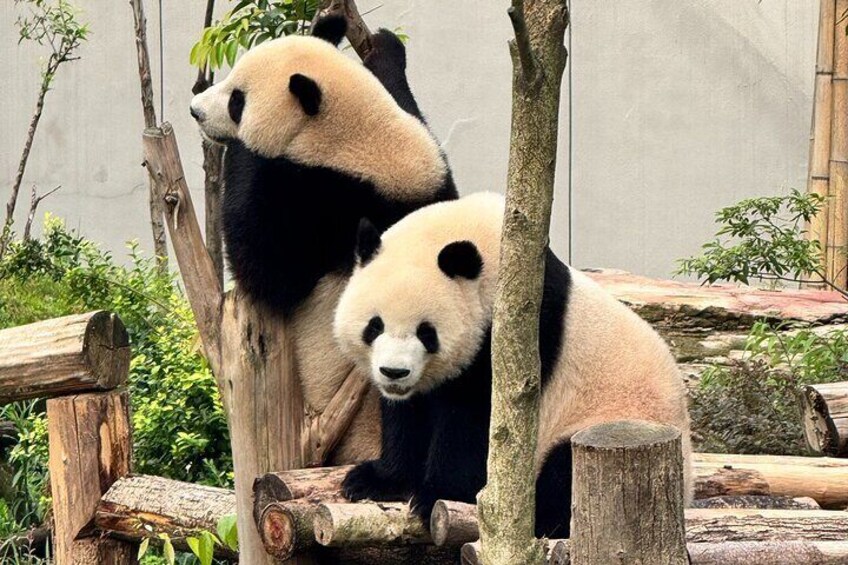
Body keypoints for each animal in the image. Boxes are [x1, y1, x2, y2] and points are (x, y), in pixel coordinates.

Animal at [189, 16, 457, 463]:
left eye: (237, 101)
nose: (195, 111)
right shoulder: (432, 181)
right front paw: (377, 46)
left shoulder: (320, 206)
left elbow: (267, 268)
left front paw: (246, 148)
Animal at [333, 192, 692, 537]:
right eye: (374, 326)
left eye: (427, 332)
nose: (394, 372)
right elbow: (409, 415)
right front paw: (374, 479)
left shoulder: (517, 335)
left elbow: (475, 421)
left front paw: (436, 494)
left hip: (612, 420)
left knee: (566, 471)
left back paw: (543, 518)